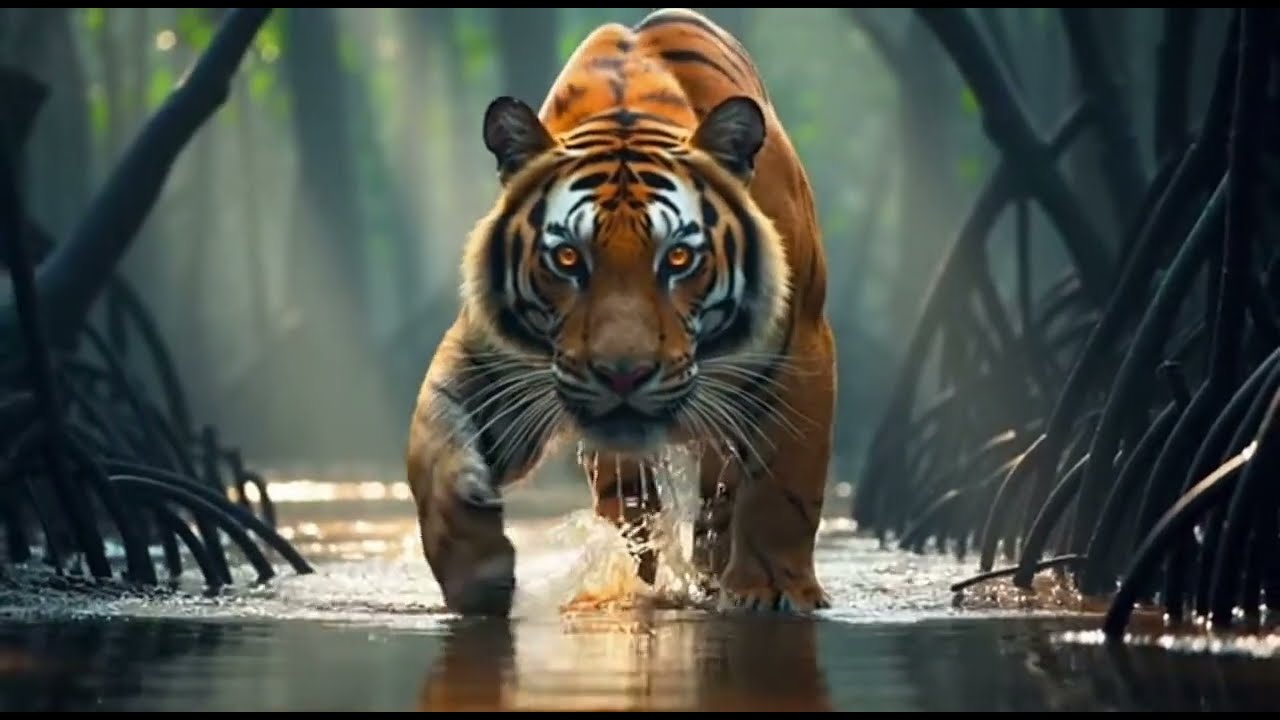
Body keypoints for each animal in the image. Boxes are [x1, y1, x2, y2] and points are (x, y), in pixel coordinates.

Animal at [406, 7, 835, 617]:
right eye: (567, 258)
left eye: (679, 256)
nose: (623, 374)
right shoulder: (499, 362)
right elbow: (432, 440)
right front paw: (476, 569)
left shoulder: (799, 343)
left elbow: (786, 480)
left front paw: (773, 591)